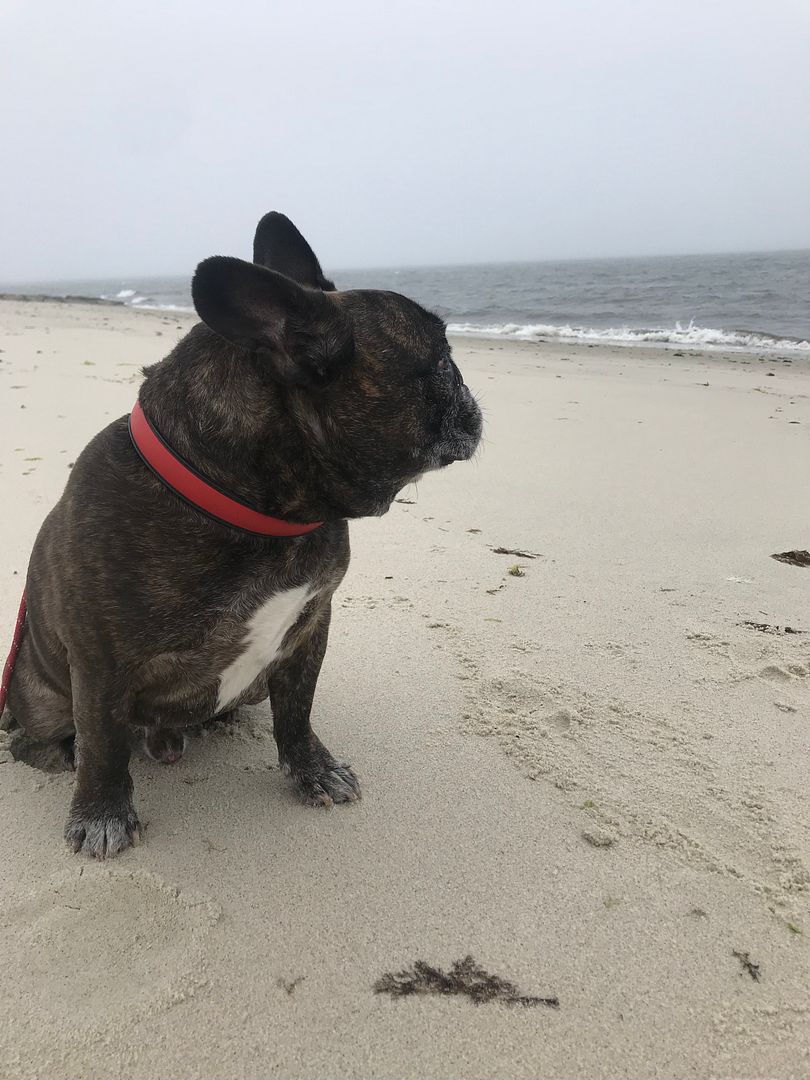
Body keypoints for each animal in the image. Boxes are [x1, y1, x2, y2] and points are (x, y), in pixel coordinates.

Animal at [3, 214, 486, 859]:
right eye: (441, 359)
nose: (470, 396)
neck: (258, 509)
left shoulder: (310, 624)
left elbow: (298, 709)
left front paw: (312, 769)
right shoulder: (100, 661)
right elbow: (104, 742)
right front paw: (102, 813)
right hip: (42, 693)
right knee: (42, 738)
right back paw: (63, 751)